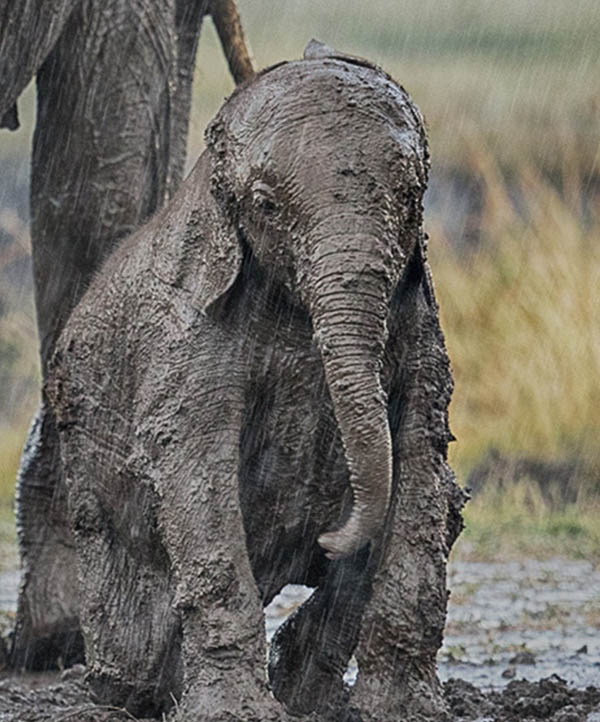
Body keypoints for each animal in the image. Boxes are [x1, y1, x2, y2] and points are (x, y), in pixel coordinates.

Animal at [50, 42, 464, 720]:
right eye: (267, 205)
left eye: (410, 198)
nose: (329, 537)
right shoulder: (185, 336)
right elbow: (195, 469)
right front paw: (235, 713)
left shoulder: (421, 327)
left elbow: (422, 467)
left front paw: (402, 712)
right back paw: (128, 692)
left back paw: (306, 693)